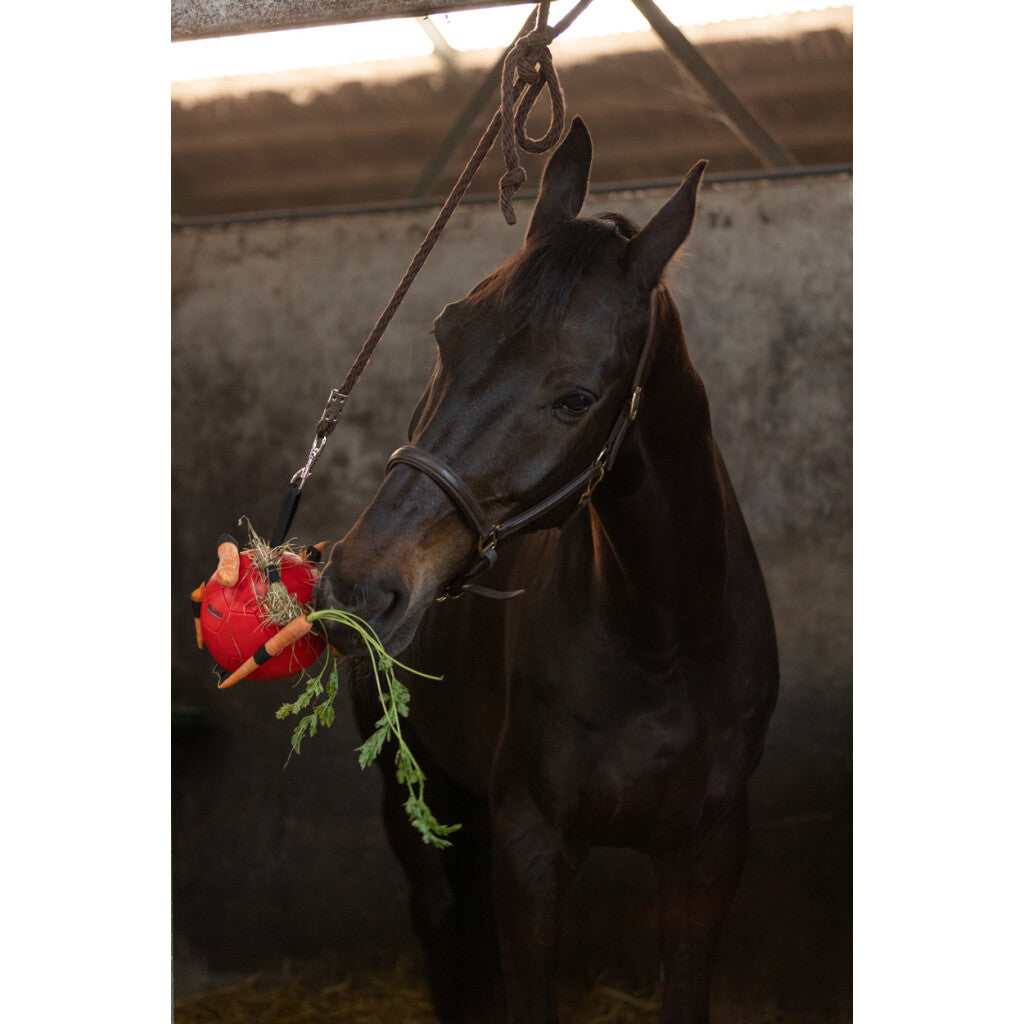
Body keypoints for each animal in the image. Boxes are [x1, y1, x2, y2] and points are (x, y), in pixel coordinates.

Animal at [314, 117, 779, 1024]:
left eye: (575, 399)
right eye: (445, 332)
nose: (359, 585)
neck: (660, 638)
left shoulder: (711, 851)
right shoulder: (529, 848)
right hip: (414, 795)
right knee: (442, 920)